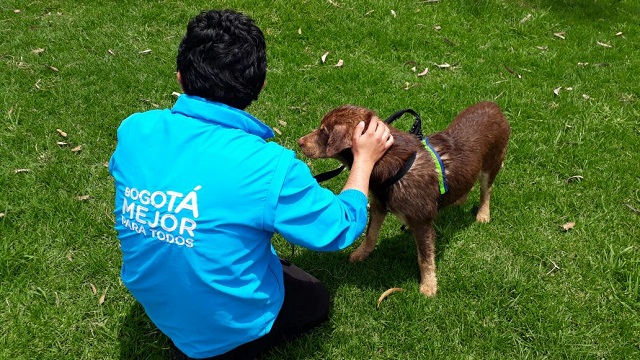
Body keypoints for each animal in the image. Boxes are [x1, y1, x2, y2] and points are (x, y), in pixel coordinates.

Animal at [298, 100, 512, 296]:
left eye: (324, 132)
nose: (299, 142)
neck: (388, 163)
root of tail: (493, 105)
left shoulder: (422, 221)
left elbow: (425, 258)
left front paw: (429, 285)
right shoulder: (378, 204)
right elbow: (370, 234)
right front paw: (361, 253)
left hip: (492, 162)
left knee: (487, 190)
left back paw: (483, 213)